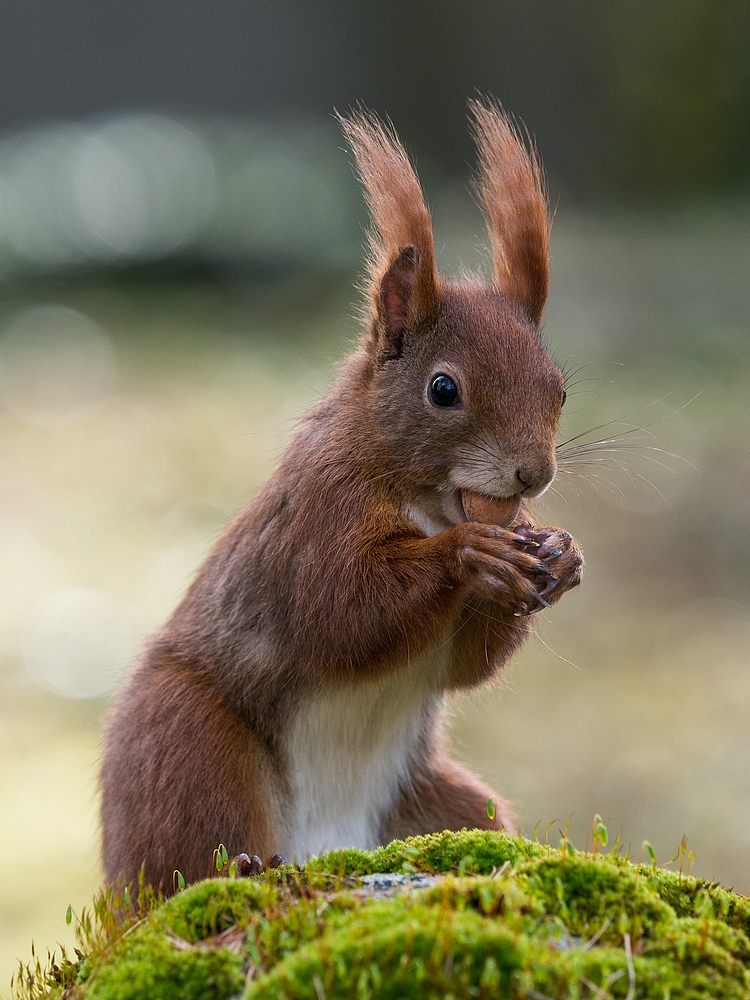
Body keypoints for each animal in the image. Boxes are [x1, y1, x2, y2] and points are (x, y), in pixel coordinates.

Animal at [100, 101, 584, 892]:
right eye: (442, 389)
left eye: (559, 388)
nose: (531, 475)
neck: (423, 500)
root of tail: (323, 848)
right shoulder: (319, 512)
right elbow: (340, 609)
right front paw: (466, 554)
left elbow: (464, 665)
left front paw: (562, 558)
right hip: (189, 747)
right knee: (187, 853)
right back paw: (239, 868)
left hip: (437, 801)